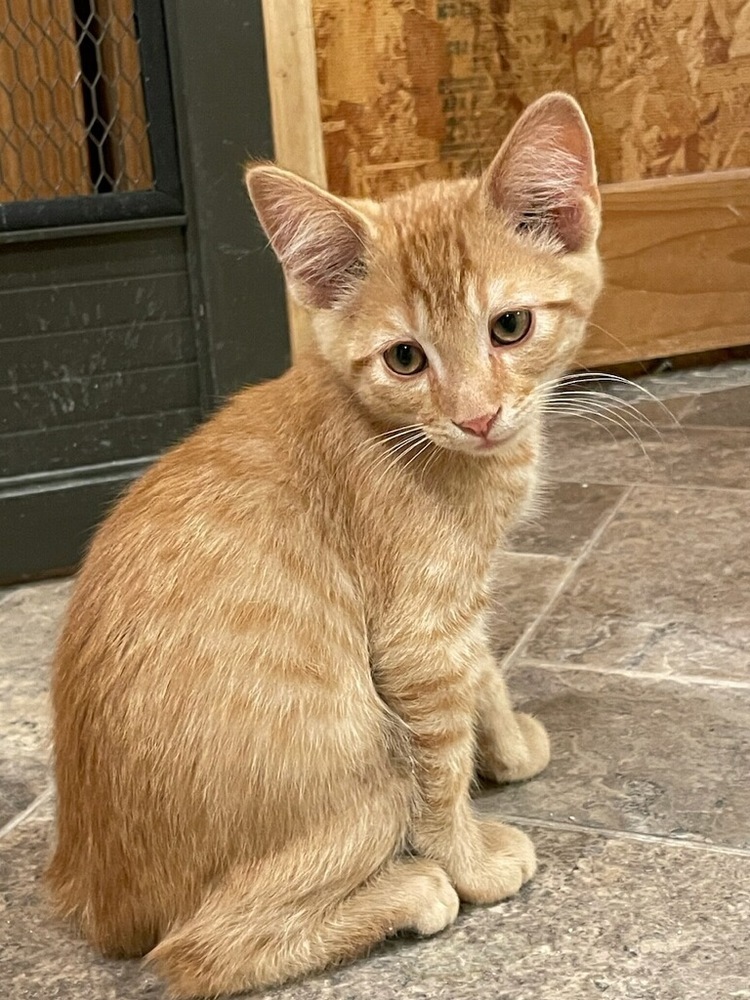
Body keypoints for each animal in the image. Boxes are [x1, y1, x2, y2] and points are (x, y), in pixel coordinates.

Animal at [48, 92, 604, 992]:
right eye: (406, 358)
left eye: (511, 327)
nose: (478, 417)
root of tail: (94, 894)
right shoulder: (418, 638)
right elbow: (441, 764)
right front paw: (472, 860)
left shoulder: (457, 607)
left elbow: (483, 667)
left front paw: (509, 747)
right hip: (367, 761)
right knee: (196, 950)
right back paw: (413, 891)